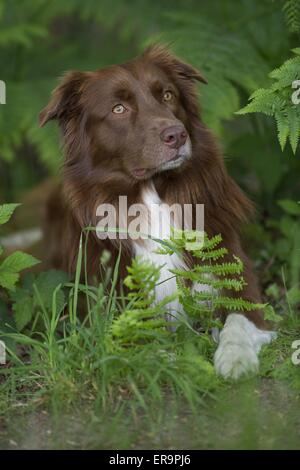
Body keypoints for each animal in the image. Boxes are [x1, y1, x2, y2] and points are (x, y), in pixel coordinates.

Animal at [39, 46, 276, 380]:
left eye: (167, 95)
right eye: (119, 109)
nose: (176, 135)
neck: (152, 195)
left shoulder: (234, 277)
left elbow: (239, 321)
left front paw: (235, 358)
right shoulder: (108, 312)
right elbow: (149, 346)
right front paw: (186, 365)